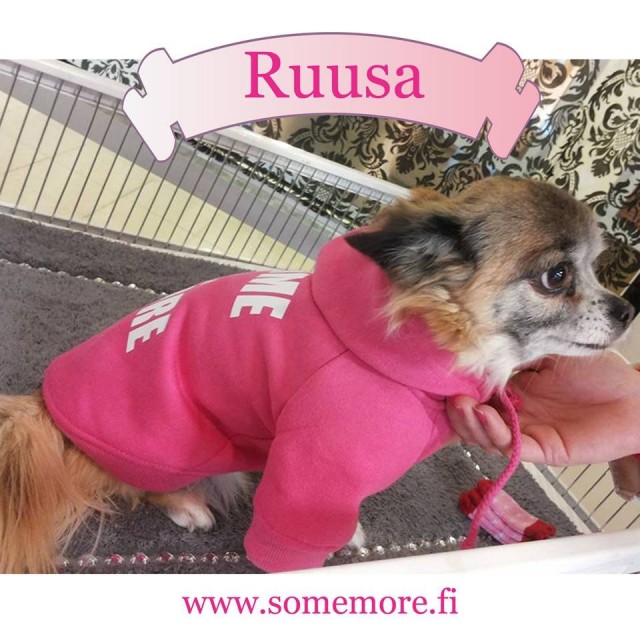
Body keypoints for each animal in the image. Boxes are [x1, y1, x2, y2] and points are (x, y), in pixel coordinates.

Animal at [0, 176, 634, 573]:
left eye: (597, 268)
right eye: (557, 276)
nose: (629, 311)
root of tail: (45, 405)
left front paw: (345, 533)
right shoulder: (318, 466)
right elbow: (294, 532)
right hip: (176, 443)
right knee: (137, 482)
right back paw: (187, 504)